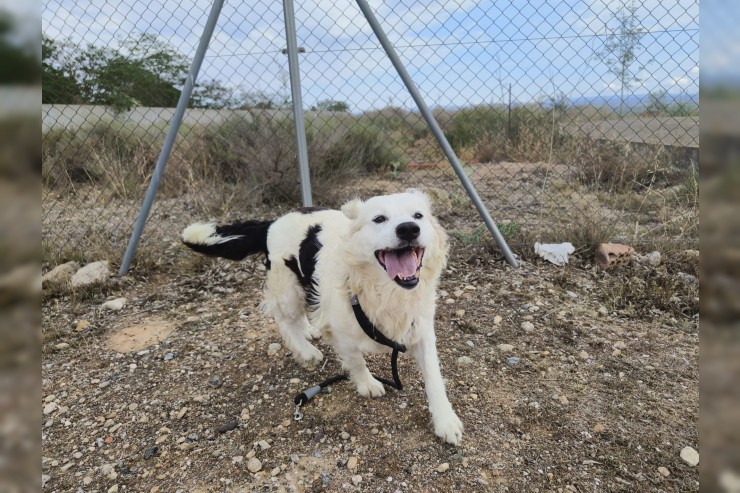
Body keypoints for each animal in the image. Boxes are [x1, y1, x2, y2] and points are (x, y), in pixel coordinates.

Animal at [182, 190, 462, 444]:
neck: (385, 291)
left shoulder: (421, 330)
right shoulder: (342, 334)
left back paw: (309, 329)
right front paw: (367, 383)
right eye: (379, 219)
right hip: (287, 288)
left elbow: (434, 378)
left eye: (418, 215)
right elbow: (357, 361)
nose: (409, 229)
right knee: (284, 320)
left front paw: (445, 420)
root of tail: (271, 223)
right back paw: (306, 350)